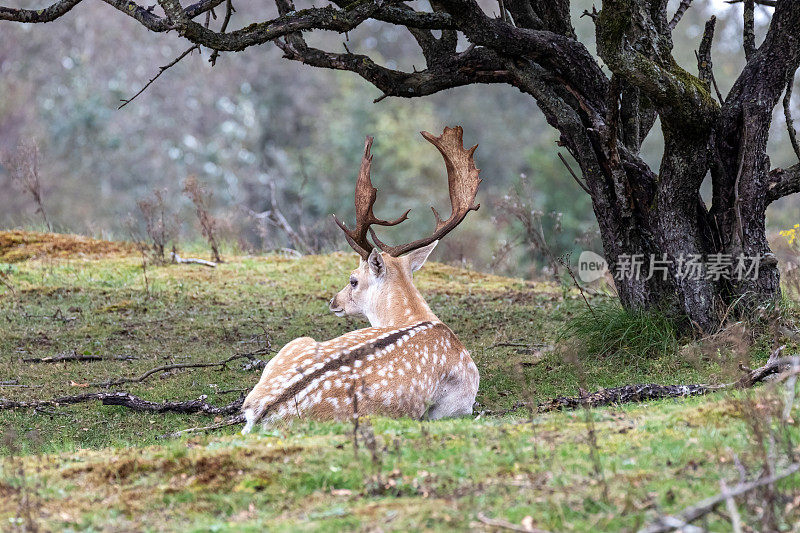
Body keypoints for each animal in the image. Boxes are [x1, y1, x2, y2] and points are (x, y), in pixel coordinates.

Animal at [242, 125, 482, 432]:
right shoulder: (459, 406)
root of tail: (263, 411)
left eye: (353, 279)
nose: (334, 301)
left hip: (297, 344)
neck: (421, 318)